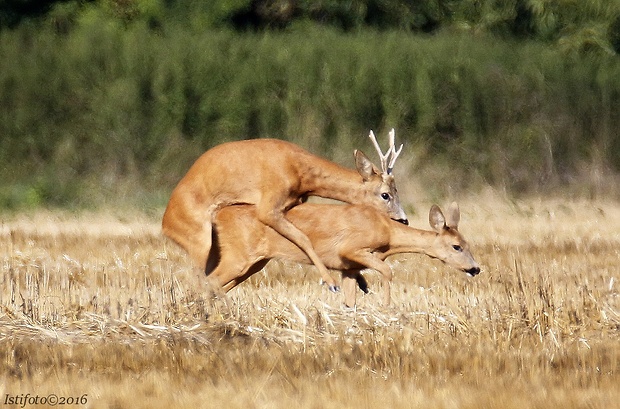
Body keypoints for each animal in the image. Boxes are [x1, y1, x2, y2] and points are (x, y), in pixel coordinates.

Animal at [162, 130, 410, 290]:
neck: (299, 170)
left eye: (397, 190)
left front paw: (360, 280)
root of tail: (165, 224)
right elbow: (303, 238)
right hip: (198, 239)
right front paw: (330, 282)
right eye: (385, 194)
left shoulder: (294, 203)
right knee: (199, 280)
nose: (403, 220)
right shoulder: (269, 205)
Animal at [207, 201, 480, 306]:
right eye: (456, 246)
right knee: (211, 278)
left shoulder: (348, 268)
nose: (475, 268)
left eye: (468, 243)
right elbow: (387, 270)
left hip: (255, 263)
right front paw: (387, 305)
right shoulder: (350, 249)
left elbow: (350, 300)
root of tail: (217, 215)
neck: (388, 232)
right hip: (239, 256)